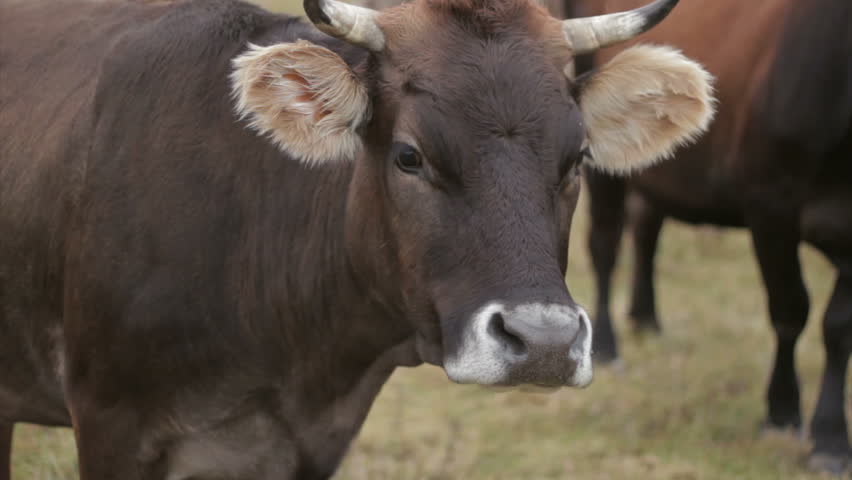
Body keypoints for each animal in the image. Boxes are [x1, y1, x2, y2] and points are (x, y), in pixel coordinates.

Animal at [573, 0, 852, 473]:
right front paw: (782, 412)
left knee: (647, 225)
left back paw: (646, 318)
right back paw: (608, 347)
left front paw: (831, 437)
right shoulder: (770, 206)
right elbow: (790, 310)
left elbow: (838, 327)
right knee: (605, 245)